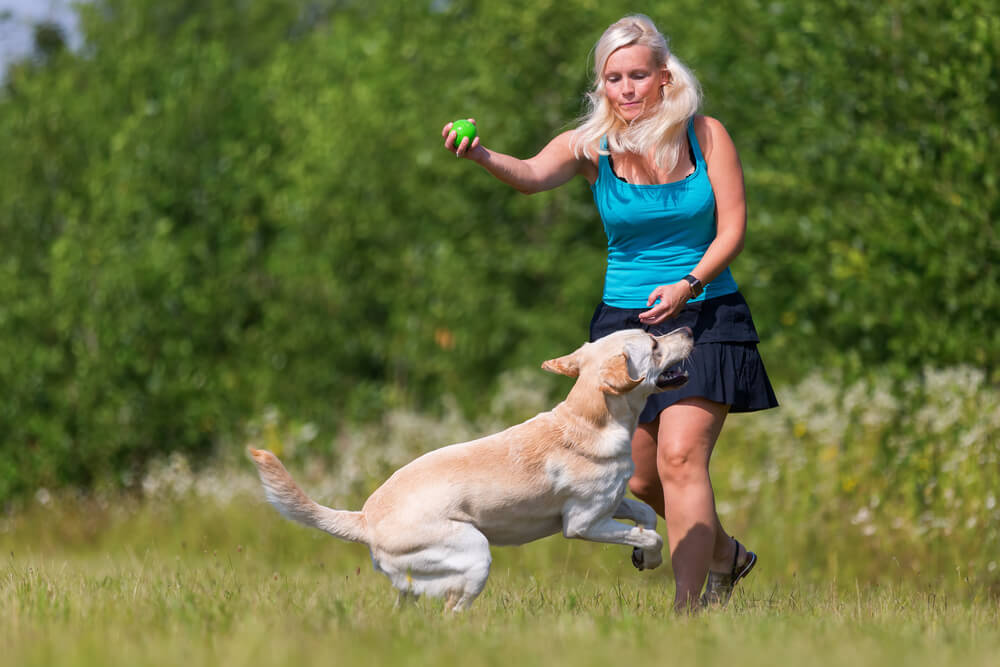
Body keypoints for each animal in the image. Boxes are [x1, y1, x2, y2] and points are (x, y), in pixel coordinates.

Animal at [246, 326, 692, 612]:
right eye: (654, 344)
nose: (688, 328)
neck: (590, 420)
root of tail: (365, 519)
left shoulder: (610, 503)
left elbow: (646, 514)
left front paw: (641, 554)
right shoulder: (583, 523)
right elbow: (651, 534)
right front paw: (649, 555)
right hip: (475, 553)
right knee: (451, 612)